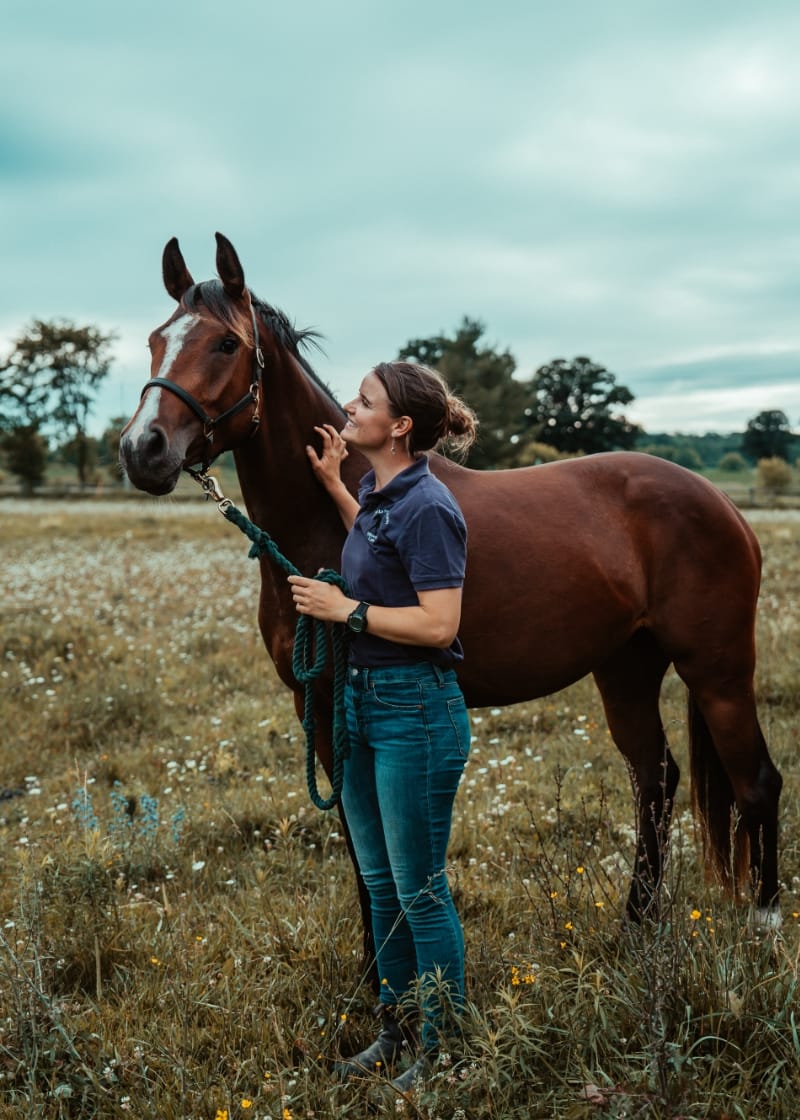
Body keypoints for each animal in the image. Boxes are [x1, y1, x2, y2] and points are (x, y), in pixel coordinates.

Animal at [117, 234, 779, 963]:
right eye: (155, 340)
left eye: (225, 344)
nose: (142, 449)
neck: (332, 519)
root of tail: (724, 504)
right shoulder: (316, 704)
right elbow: (360, 843)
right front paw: (376, 970)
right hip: (627, 669)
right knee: (656, 781)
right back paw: (634, 928)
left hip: (717, 671)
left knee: (756, 783)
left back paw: (764, 930)